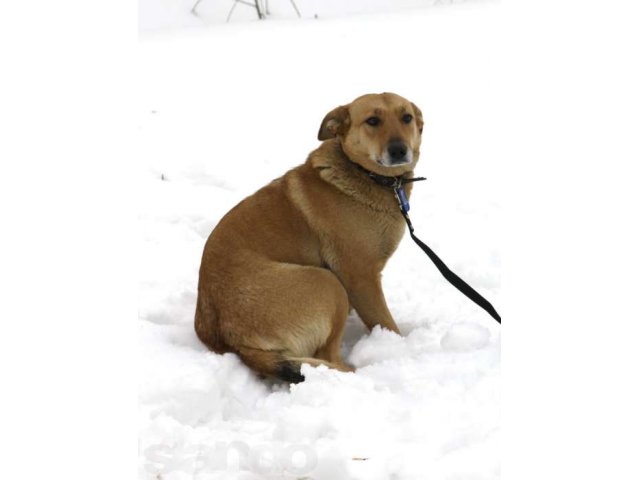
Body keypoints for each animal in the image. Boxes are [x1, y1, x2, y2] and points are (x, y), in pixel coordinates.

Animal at [195, 91, 424, 382]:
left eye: (406, 117)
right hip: (327, 283)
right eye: (372, 121)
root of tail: (234, 342)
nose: (399, 150)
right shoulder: (361, 277)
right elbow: (386, 323)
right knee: (328, 358)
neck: (368, 176)